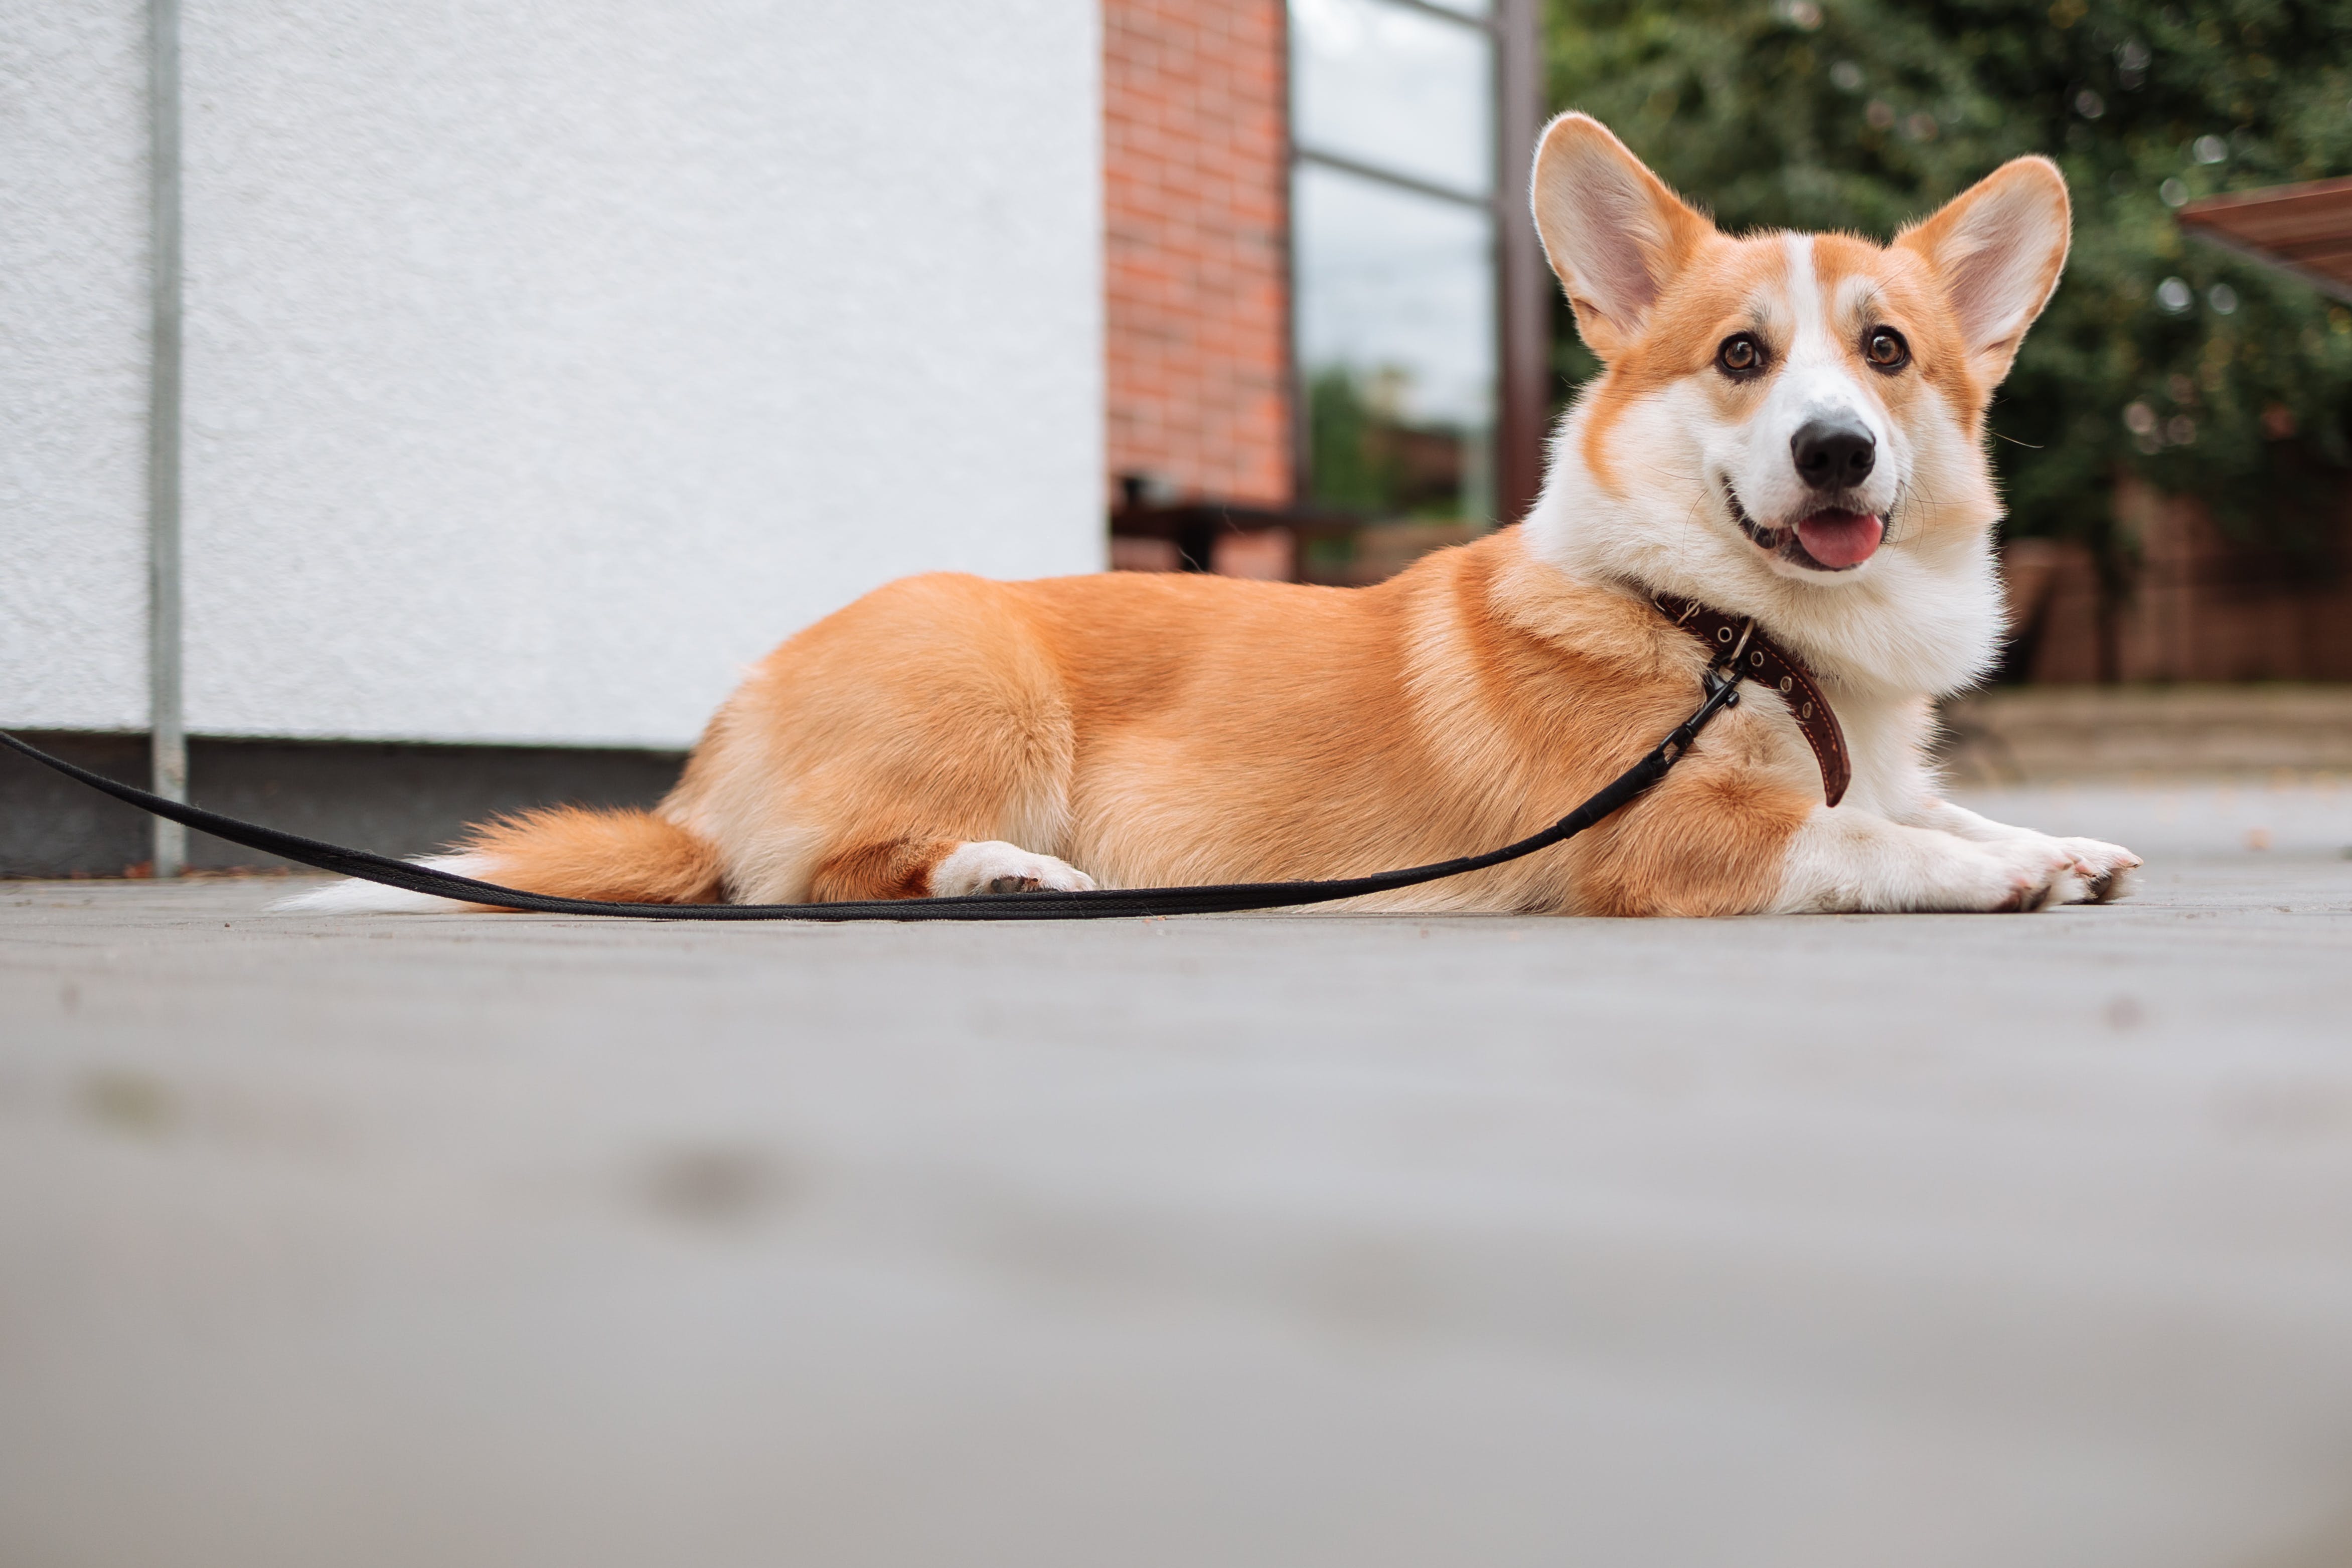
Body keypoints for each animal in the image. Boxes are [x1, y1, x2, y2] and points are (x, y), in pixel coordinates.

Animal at [294, 120, 2135, 921]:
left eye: (1884, 354)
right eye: (1742, 358)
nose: (1834, 452)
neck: (1729, 625)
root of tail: (713, 743)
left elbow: (1921, 806)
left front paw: (2051, 836)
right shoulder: (1665, 840)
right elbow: (1865, 840)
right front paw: (2005, 870)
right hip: (972, 684)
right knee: (812, 872)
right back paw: (1006, 874)